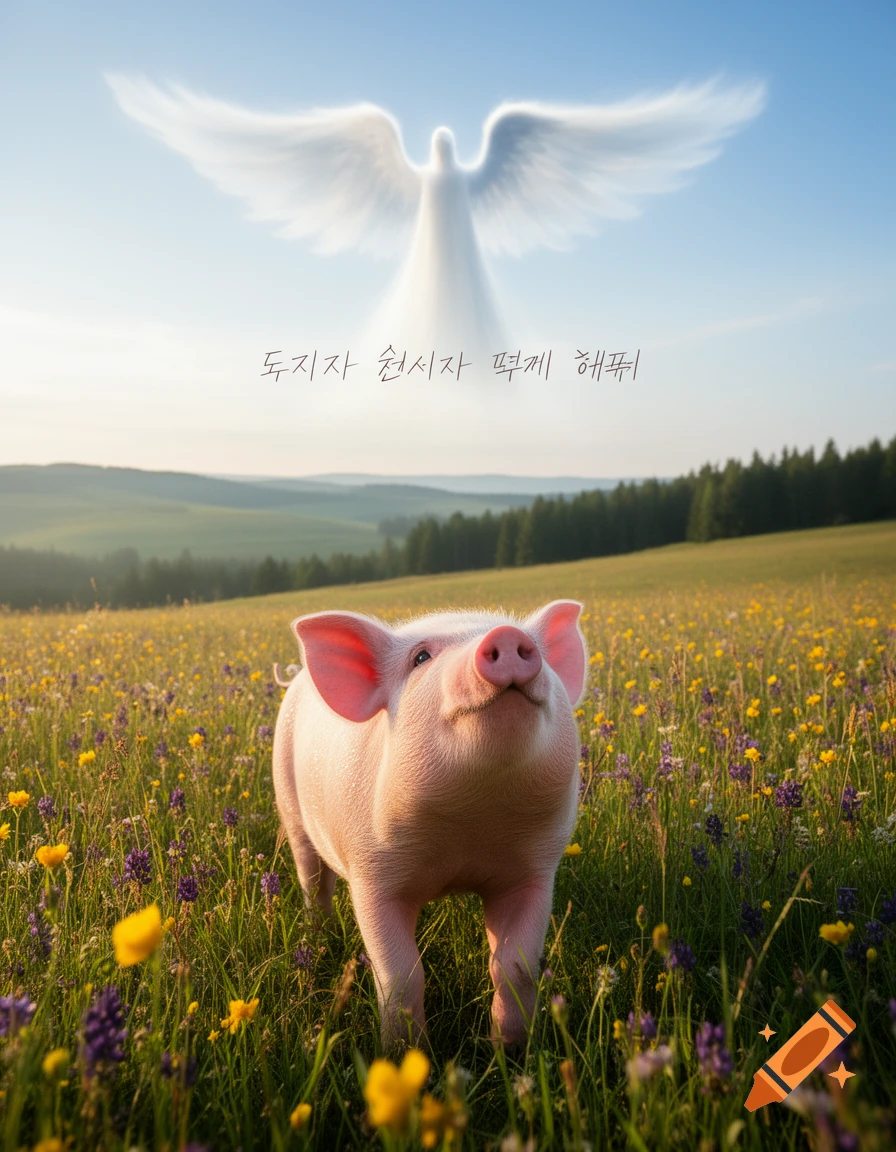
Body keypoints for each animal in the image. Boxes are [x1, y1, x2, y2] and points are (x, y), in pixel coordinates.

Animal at [272, 600, 587, 1049]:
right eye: (420, 657)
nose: (506, 636)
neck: (468, 823)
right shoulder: (373, 879)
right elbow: (401, 977)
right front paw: (406, 1051)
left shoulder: (534, 874)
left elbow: (515, 968)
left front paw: (509, 1051)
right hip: (290, 806)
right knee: (313, 881)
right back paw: (320, 940)